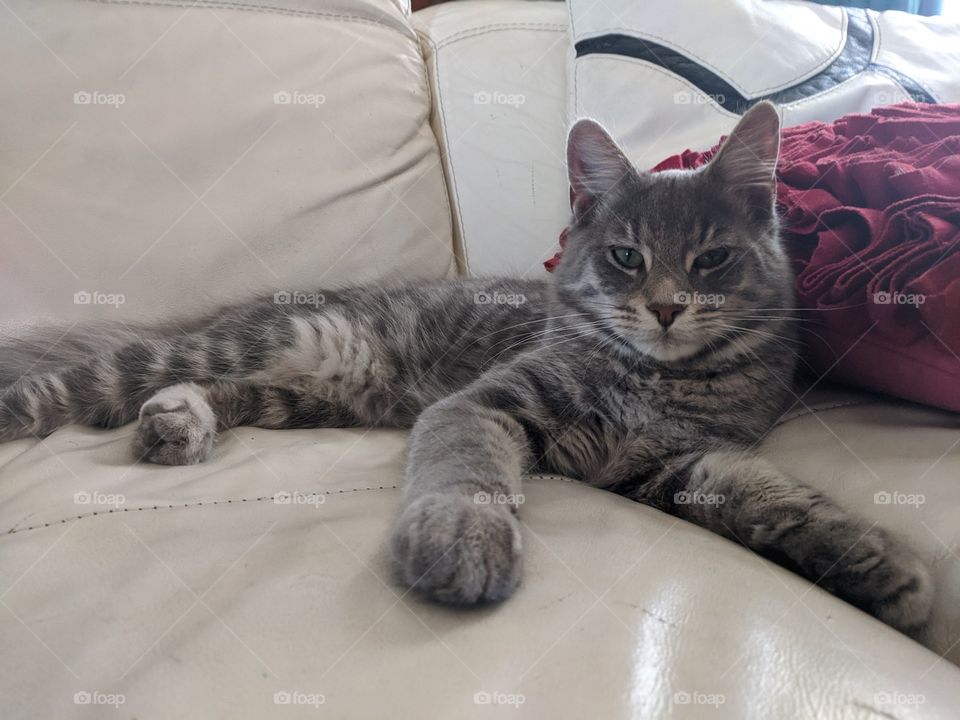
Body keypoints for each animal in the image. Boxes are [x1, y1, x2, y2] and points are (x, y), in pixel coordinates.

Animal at [0, 102, 928, 636]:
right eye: (627, 256)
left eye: (712, 260)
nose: (666, 307)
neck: (653, 379)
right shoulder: (486, 404)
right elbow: (467, 473)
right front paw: (461, 541)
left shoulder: (673, 464)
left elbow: (772, 495)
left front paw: (875, 564)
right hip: (250, 348)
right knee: (90, 380)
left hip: (302, 395)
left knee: (210, 395)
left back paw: (177, 423)